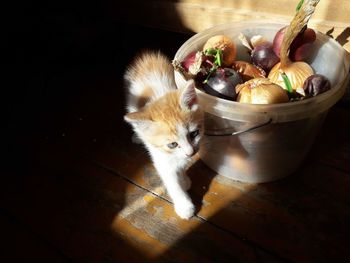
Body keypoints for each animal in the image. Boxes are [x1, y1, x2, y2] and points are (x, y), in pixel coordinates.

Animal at [124, 51, 204, 221]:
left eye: (193, 133)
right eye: (172, 144)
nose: (191, 153)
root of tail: (147, 56)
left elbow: (181, 165)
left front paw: (183, 178)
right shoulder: (160, 155)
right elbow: (171, 180)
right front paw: (184, 205)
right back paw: (137, 136)